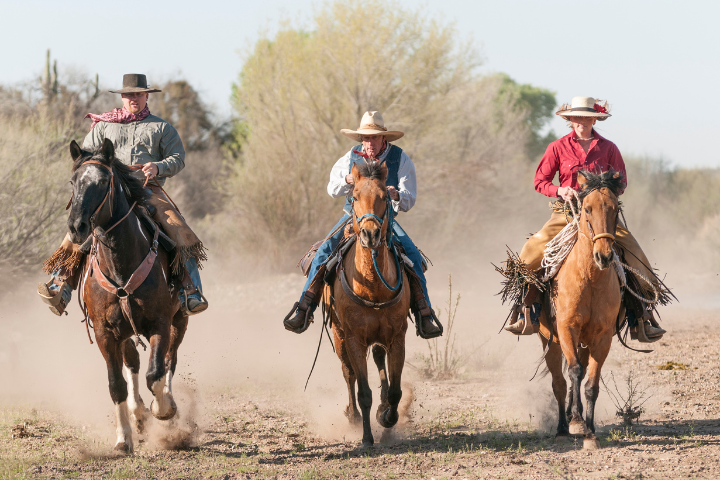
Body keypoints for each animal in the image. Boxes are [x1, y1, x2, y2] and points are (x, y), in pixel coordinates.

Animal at [67, 137, 188, 452]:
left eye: (103, 181)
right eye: (73, 181)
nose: (76, 226)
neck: (122, 265)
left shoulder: (160, 324)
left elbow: (156, 373)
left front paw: (164, 409)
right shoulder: (105, 333)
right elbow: (116, 384)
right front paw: (123, 438)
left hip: (180, 320)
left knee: (169, 361)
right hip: (124, 332)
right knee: (132, 362)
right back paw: (138, 413)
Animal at [324, 160, 414, 446]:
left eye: (386, 197)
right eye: (353, 197)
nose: (370, 234)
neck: (373, 286)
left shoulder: (397, 337)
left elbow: (396, 390)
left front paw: (387, 420)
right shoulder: (353, 338)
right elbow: (363, 391)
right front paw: (366, 437)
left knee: (378, 359)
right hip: (339, 335)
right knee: (348, 373)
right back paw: (352, 416)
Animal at [540, 171, 624, 448]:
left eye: (616, 209)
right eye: (587, 209)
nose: (604, 256)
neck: (589, 279)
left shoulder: (602, 337)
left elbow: (591, 384)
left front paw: (590, 432)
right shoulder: (567, 329)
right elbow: (574, 372)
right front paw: (576, 421)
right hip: (550, 340)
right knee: (559, 381)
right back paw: (562, 426)